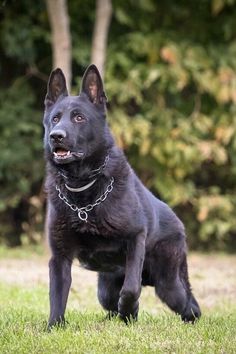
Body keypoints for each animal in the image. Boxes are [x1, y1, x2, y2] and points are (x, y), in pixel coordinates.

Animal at [43, 65, 200, 328]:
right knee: (111, 301)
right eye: (55, 118)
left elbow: (130, 289)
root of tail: (178, 221)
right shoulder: (60, 257)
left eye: (78, 117)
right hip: (105, 290)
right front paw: (53, 328)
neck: (83, 190)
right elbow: (57, 296)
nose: (56, 135)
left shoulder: (135, 238)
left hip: (169, 287)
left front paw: (127, 308)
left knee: (190, 305)